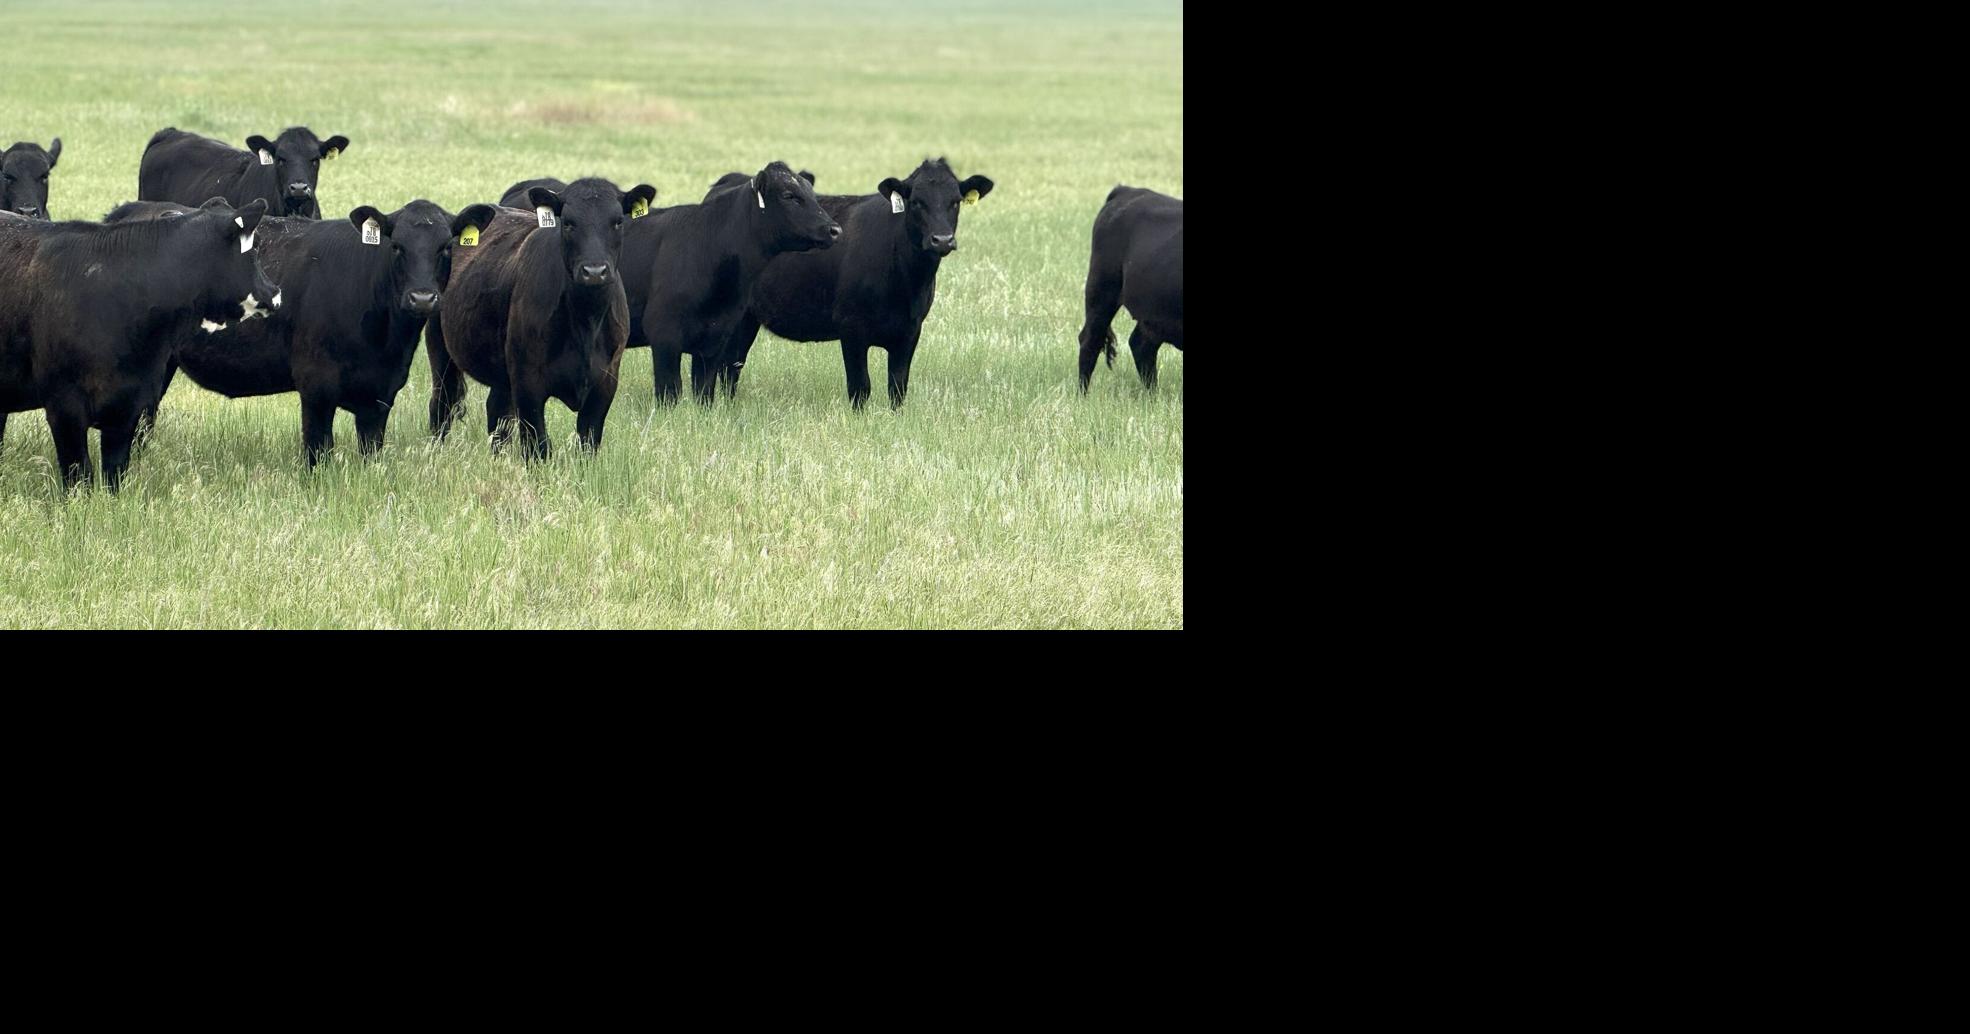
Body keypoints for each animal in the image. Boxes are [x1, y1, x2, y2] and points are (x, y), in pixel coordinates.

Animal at [0, 199, 280, 490]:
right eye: (255, 248)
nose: (275, 293)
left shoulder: (129, 408)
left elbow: (114, 475)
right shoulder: (64, 408)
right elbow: (80, 477)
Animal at [105, 198, 497, 466]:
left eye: (445, 247)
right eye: (397, 246)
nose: (422, 297)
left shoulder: (381, 395)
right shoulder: (316, 385)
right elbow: (317, 452)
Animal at [427, 177, 657, 459]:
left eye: (617, 222)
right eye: (568, 222)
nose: (594, 271)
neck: (585, 322)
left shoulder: (605, 383)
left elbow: (588, 443)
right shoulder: (528, 384)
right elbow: (537, 446)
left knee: (497, 413)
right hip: (442, 353)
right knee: (442, 406)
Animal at [613, 161, 837, 404]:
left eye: (813, 195)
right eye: (789, 195)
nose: (834, 229)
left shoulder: (716, 339)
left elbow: (704, 393)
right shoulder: (664, 335)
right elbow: (669, 392)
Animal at [735, 157, 994, 409]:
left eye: (955, 202)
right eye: (917, 202)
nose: (942, 240)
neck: (905, 283)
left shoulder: (911, 330)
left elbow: (897, 387)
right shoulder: (851, 327)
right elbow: (860, 387)